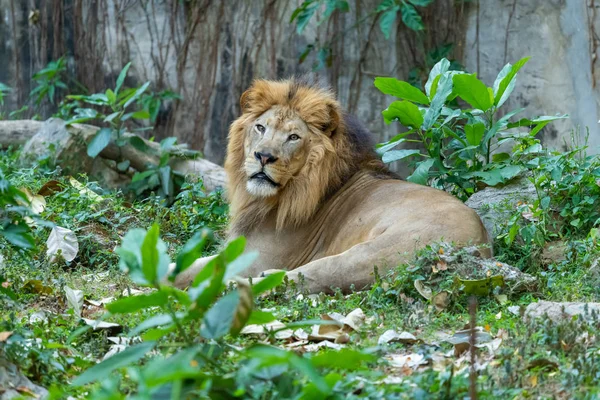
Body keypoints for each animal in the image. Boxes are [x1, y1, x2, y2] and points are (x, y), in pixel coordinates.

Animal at [175, 77, 492, 294]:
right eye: (260, 128)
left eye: (293, 137)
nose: (263, 156)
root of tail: (482, 245)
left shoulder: (255, 259)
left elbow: (191, 268)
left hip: (373, 254)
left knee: (301, 279)